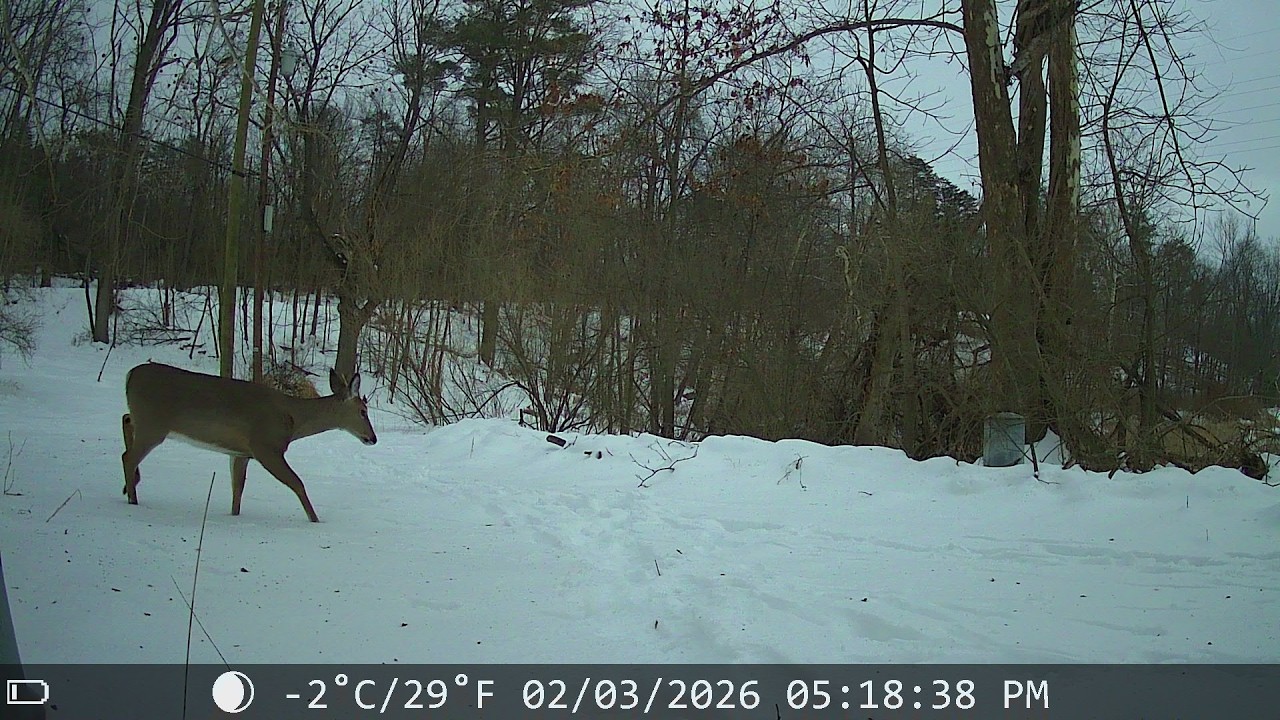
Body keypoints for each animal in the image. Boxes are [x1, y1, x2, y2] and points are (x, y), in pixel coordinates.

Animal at [120, 362, 377, 522]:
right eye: (363, 411)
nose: (373, 438)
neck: (294, 420)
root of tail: (130, 374)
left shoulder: (241, 453)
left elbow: (238, 488)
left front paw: (234, 515)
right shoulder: (265, 446)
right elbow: (297, 483)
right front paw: (315, 520)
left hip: (145, 419)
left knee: (126, 420)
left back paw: (131, 484)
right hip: (153, 423)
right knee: (128, 456)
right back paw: (133, 498)